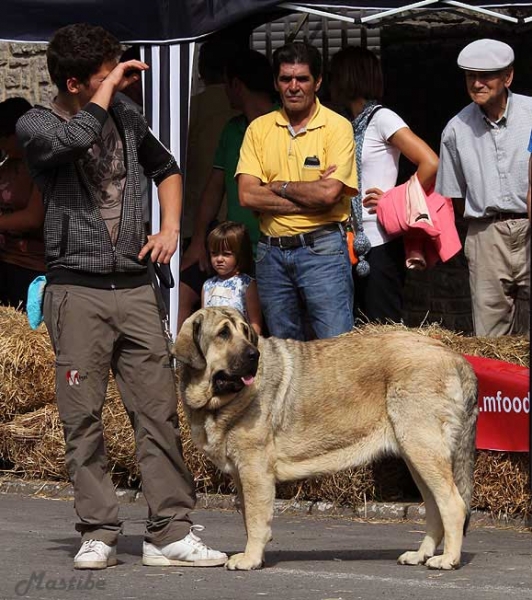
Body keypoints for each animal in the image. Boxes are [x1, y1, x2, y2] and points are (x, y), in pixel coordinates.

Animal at [175, 310, 478, 572]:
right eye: (223, 334)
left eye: (245, 332)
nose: (254, 355)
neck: (219, 401)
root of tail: (455, 356)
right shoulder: (242, 474)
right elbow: (247, 518)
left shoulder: (254, 471)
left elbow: (256, 519)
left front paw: (250, 559)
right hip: (417, 456)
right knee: (435, 508)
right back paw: (420, 554)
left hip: (423, 449)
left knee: (453, 504)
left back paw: (448, 559)